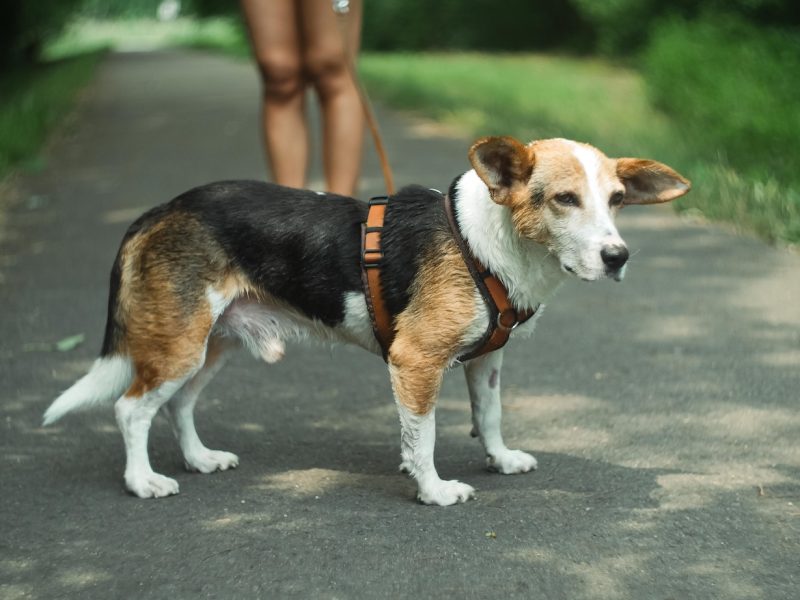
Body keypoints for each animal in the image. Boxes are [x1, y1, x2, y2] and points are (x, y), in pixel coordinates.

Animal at [42, 137, 688, 506]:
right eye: (564, 199)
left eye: (617, 200)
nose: (618, 257)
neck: (489, 241)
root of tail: (159, 211)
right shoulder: (416, 362)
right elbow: (423, 437)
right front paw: (432, 490)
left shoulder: (487, 359)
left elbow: (490, 415)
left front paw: (500, 458)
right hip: (179, 345)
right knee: (131, 409)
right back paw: (142, 481)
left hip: (208, 346)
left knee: (176, 404)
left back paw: (200, 459)